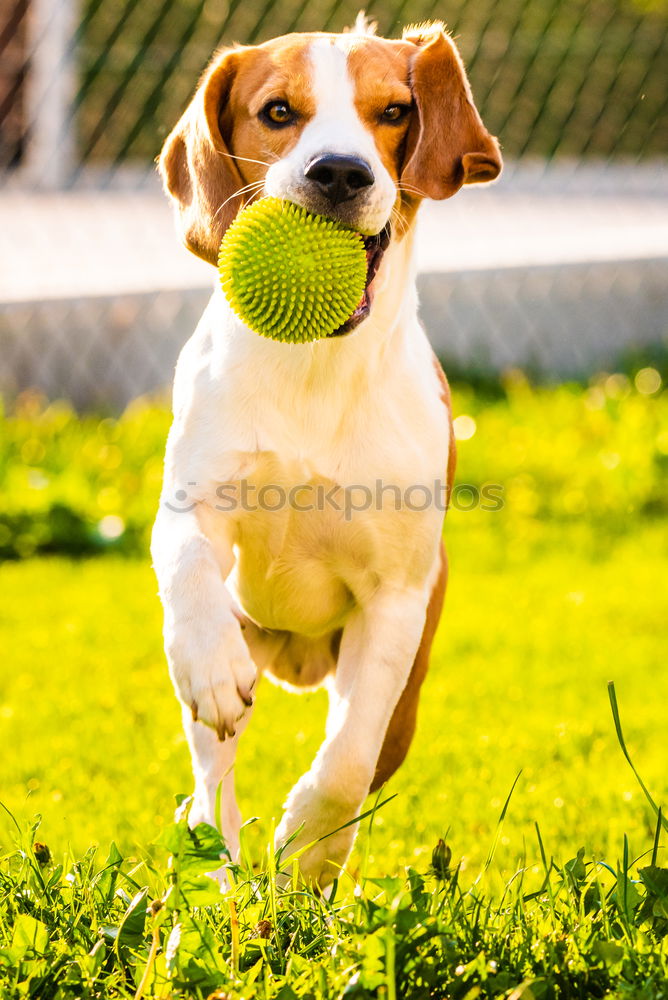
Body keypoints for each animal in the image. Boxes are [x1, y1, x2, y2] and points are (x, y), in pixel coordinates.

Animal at [153, 15, 500, 888]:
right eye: (278, 111)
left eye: (394, 110)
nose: (339, 172)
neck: (314, 362)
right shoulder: (190, 509)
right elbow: (186, 563)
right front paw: (209, 663)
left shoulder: (396, 602)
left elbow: (344, 766)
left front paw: (307, 852)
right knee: (213, 768)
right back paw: (213, 855)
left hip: (405, 694)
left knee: (361, 748)